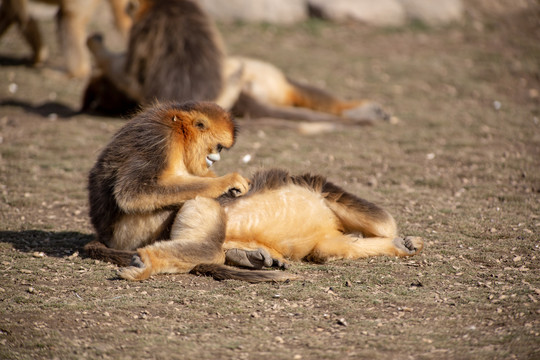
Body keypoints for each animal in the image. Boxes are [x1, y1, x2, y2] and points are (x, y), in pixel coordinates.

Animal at [84, 100, 424, 282]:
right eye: (218, 147)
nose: (215, 159)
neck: (176, 127)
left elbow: (332, 248)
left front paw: (401, 244)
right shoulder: (158, 137)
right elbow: (133, 192)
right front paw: (228, 181)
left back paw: (245, 256)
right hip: (139, 230)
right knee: (202, 218)